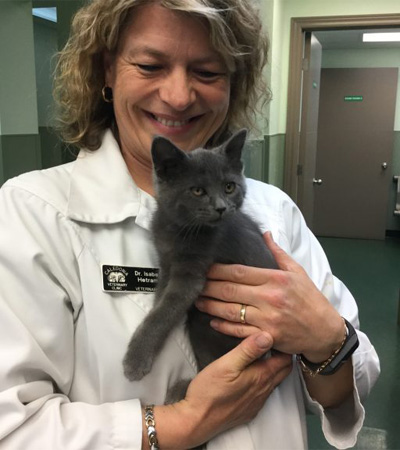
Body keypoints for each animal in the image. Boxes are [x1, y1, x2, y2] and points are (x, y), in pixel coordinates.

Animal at [123, 130, 276, 400]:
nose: (221, 207)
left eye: (229, 187)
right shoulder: (166, 263)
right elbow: (159, 302)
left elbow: (165, 310)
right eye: (197, 191)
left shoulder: (192, 272)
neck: (177, 229)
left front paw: (137, 358)